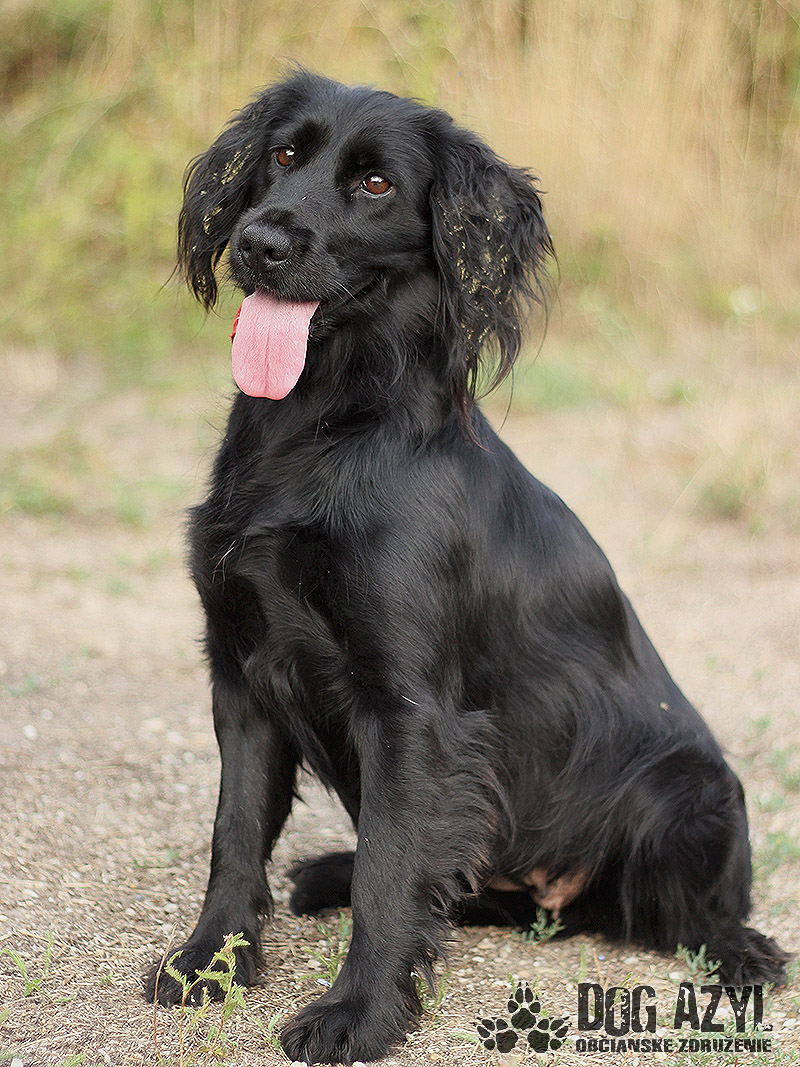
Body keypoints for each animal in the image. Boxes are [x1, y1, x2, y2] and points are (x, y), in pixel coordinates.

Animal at [145, 71, 788, 1062]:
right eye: (284, 155)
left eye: (376, 184)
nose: (259, 241)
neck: (326, 424)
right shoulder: (242, 674)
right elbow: (237, 830)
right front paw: (210, 961)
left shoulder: (412, 713)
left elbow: (393, 871)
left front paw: (359, 1014)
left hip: (692, 791)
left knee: (690, 915)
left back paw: (745, 953)